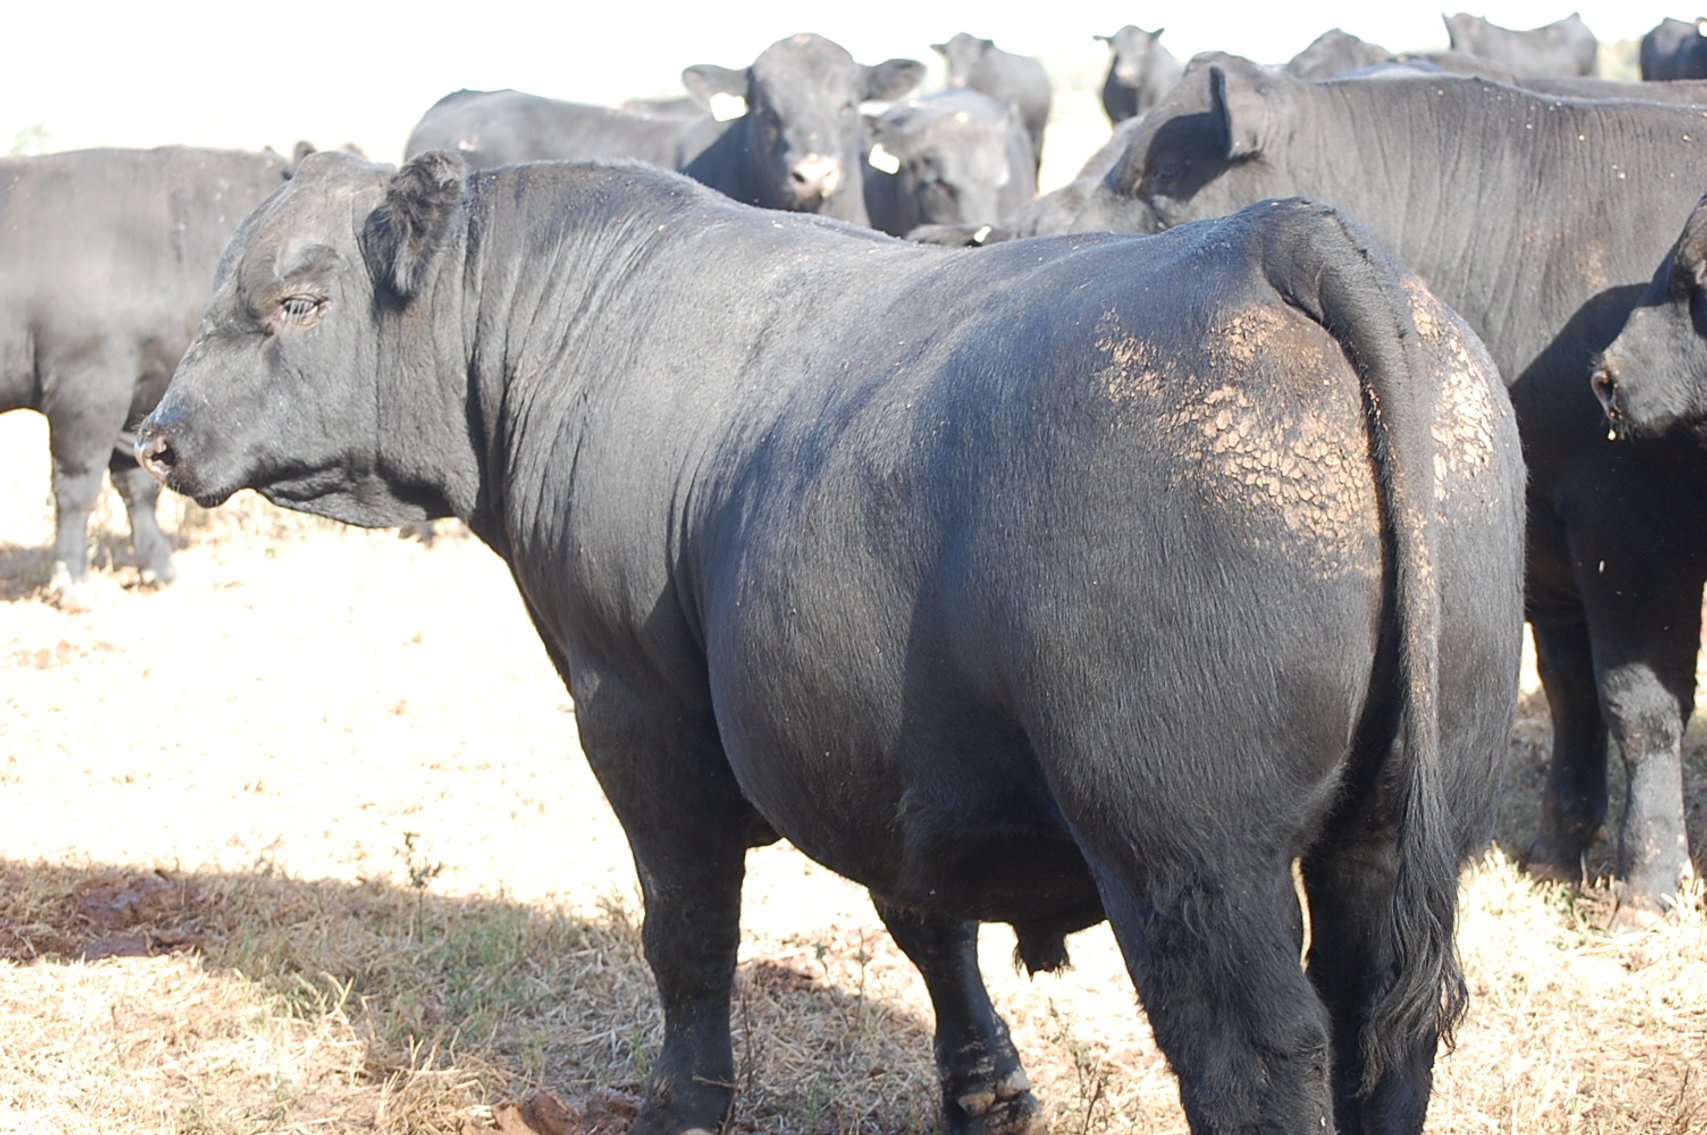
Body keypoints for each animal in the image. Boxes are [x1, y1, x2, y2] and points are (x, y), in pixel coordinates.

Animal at [0, 145, 296, 605]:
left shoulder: (141, 398)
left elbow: (137, 484)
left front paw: (158, 566)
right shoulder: (88, 389)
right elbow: (77, 487)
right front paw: (71, 579)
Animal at [136, 149, 1524, 1135]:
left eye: (297, 302)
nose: (153, 439)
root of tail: (1270, 235)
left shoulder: (636, 714)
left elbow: (687, 931)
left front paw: (679, 1110)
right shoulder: (880, 747)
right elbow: (926, 917)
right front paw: (984, 1093)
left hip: (1185, 845)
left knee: (1254, 1048)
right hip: (1404, 815)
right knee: (1386, 1015)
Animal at [1000, 54, 1707, 923]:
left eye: (1164, 172)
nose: (1015, 232)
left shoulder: (1631, 527)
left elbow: (1639, 705)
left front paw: (1645, 884)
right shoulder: (1550, 550)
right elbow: (1571, 693)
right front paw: (1554, 850)